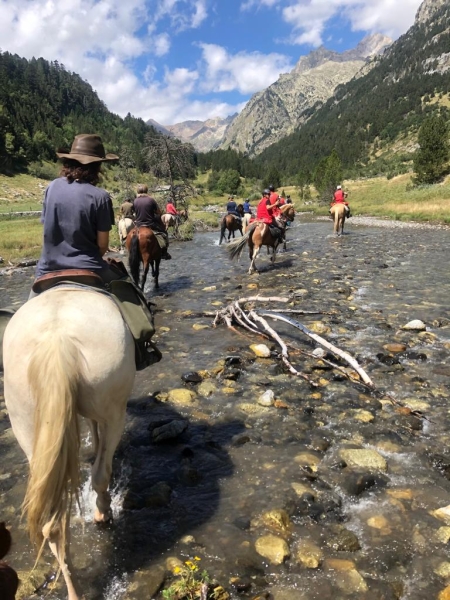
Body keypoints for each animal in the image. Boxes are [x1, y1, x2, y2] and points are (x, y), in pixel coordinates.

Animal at [3, 288, 135, 600]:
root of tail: (56, 338)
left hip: (26, 422)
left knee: (53, 525)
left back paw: (74, 589)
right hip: (115, 410)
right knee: (101, 474)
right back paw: (103, 514)